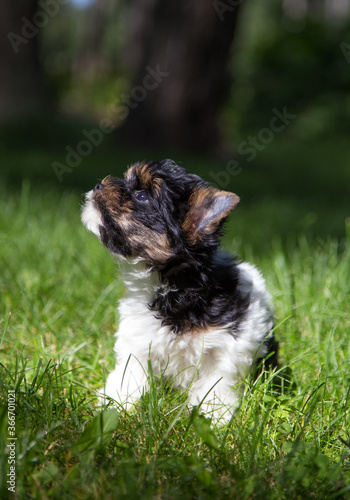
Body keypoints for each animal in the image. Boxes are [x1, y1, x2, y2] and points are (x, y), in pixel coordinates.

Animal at [81, 159, 276, 422]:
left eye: (142, 196)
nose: (98, 185)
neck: (178, 290)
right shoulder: (138, 337)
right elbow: (130, 373)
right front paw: (116, 404)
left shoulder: (230, 342)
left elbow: (218, 381)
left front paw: (212, 416)